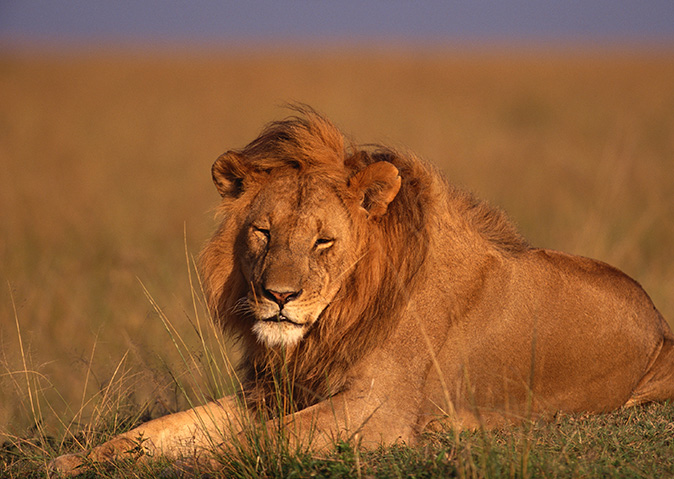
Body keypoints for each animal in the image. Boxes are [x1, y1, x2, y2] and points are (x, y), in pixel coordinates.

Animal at [52, 107, 672, 474]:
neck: (336, 319)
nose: (279, 296)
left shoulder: (379, 410)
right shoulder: (273, 392)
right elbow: (159, 430)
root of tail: (661, 327)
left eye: (323, 241)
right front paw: (73, 462)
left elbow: (252, 444)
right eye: (263, 232)